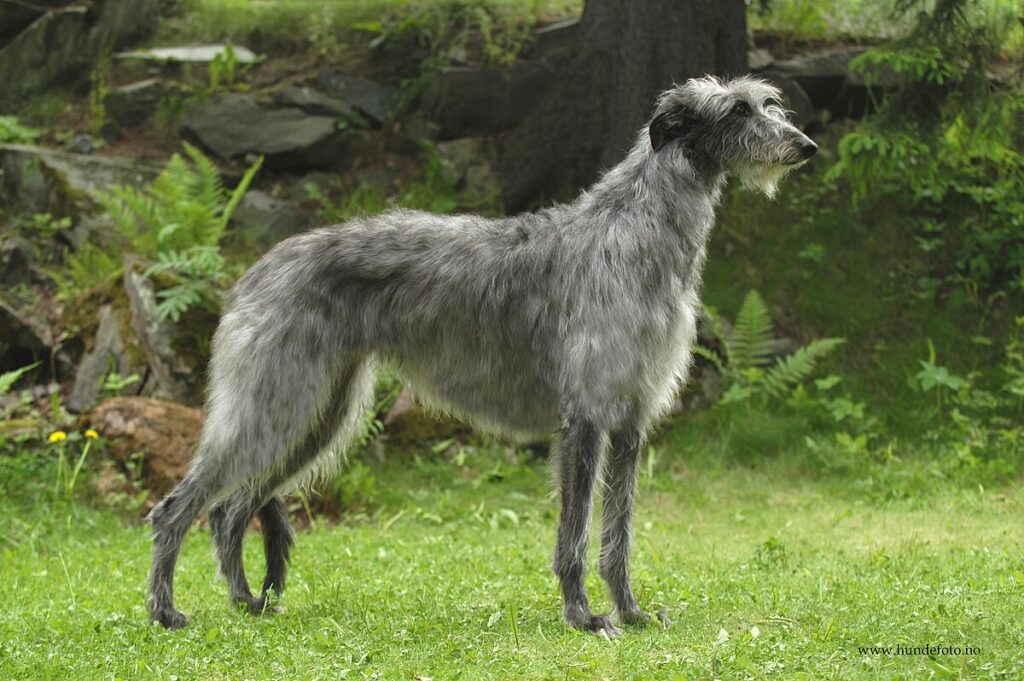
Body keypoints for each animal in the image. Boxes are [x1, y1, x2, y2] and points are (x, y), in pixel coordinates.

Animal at [148, 74, 815, 630]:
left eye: (768, 102)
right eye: (736, 109)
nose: (805, 145)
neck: (635, 232)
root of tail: (255, 269)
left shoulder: (630, 419)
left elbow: (618, 535)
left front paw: (630, 612)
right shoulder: (585, 417)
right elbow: (575, 536)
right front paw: (582, 616)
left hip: (318, 413)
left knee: (230, 512)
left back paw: (245, 602)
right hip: (275, 401)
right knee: (179, 508)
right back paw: (166, 611)